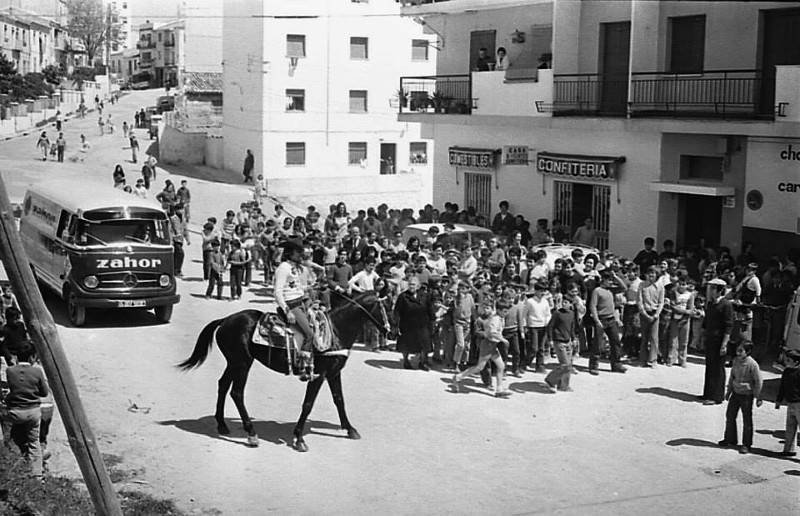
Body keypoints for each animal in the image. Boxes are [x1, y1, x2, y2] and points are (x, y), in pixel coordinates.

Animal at [177, 292, 388, 454]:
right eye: (384, 307)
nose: (388, 329)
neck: (336, 330)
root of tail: (225, 320)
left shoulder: (334, 374)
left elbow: (339, 400)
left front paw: (350, 429)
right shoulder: (318, 375)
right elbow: (308, 404)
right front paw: (299, 438)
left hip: (234, 363)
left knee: (222, 385)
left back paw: (222, 425)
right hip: (243, 364)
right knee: (236, 392)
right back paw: (251, 434)